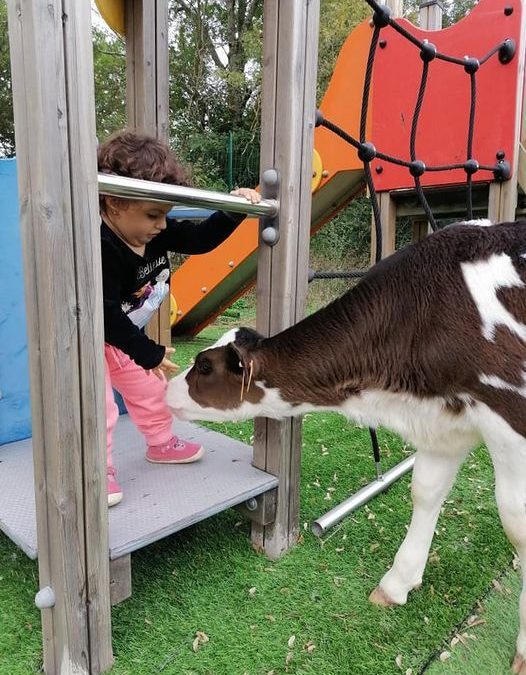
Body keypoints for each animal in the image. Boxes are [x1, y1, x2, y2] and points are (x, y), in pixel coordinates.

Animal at [169, 219, 526, 672]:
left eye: (203, 366)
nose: (164, 388)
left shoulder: (508, 417)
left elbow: (516, 522)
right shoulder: (446, 417)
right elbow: (425, 491)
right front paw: (397, 583)